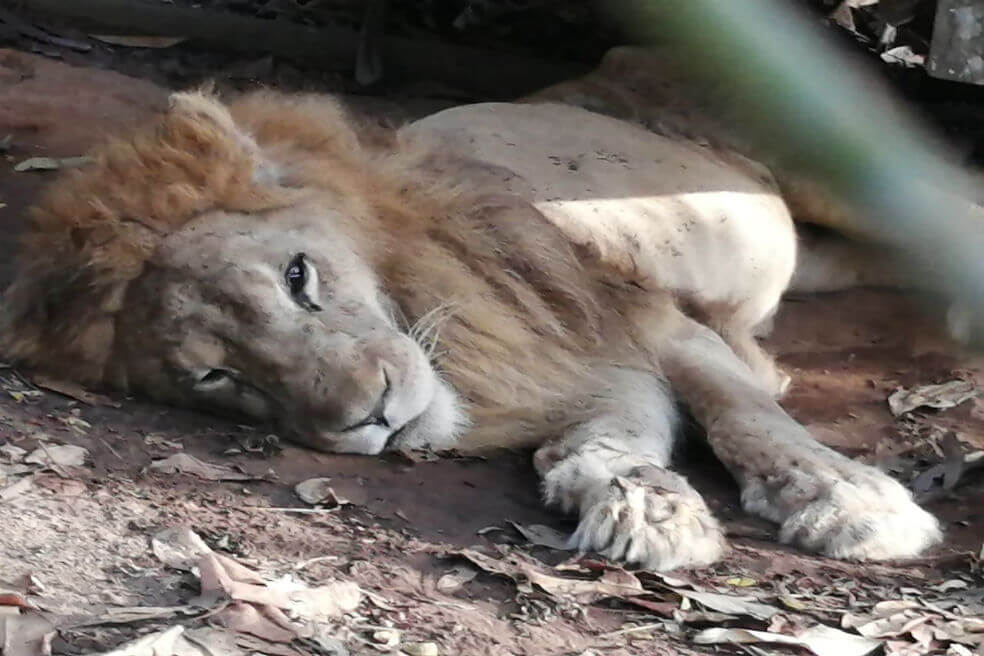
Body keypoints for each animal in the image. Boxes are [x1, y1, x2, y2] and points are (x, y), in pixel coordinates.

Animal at [0, 64, 943, 570]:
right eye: (216, 376)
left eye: (299, 277)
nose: (372, 418)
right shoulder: (578, 363)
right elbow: (613, 432)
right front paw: (644, 505)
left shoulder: (632, 317)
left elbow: (744, 412)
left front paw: (852, 501)